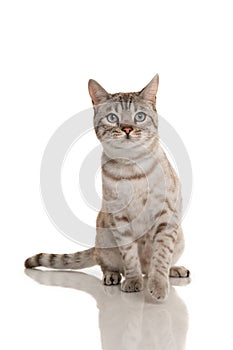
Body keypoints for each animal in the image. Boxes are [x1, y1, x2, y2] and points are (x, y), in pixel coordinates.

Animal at [25, 75, 189, 302]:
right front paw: (133, 282)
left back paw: (174, 270)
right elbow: (130, 256)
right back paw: (113, 276)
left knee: (156, 265)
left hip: (179, 236)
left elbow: (161, 256)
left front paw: (158, 285)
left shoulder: (166, 216)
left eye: (139, 117)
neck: (132, 169)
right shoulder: (120, 218)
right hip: (103, 235)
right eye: (112, 118)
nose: (127, 129)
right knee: (107, 263)